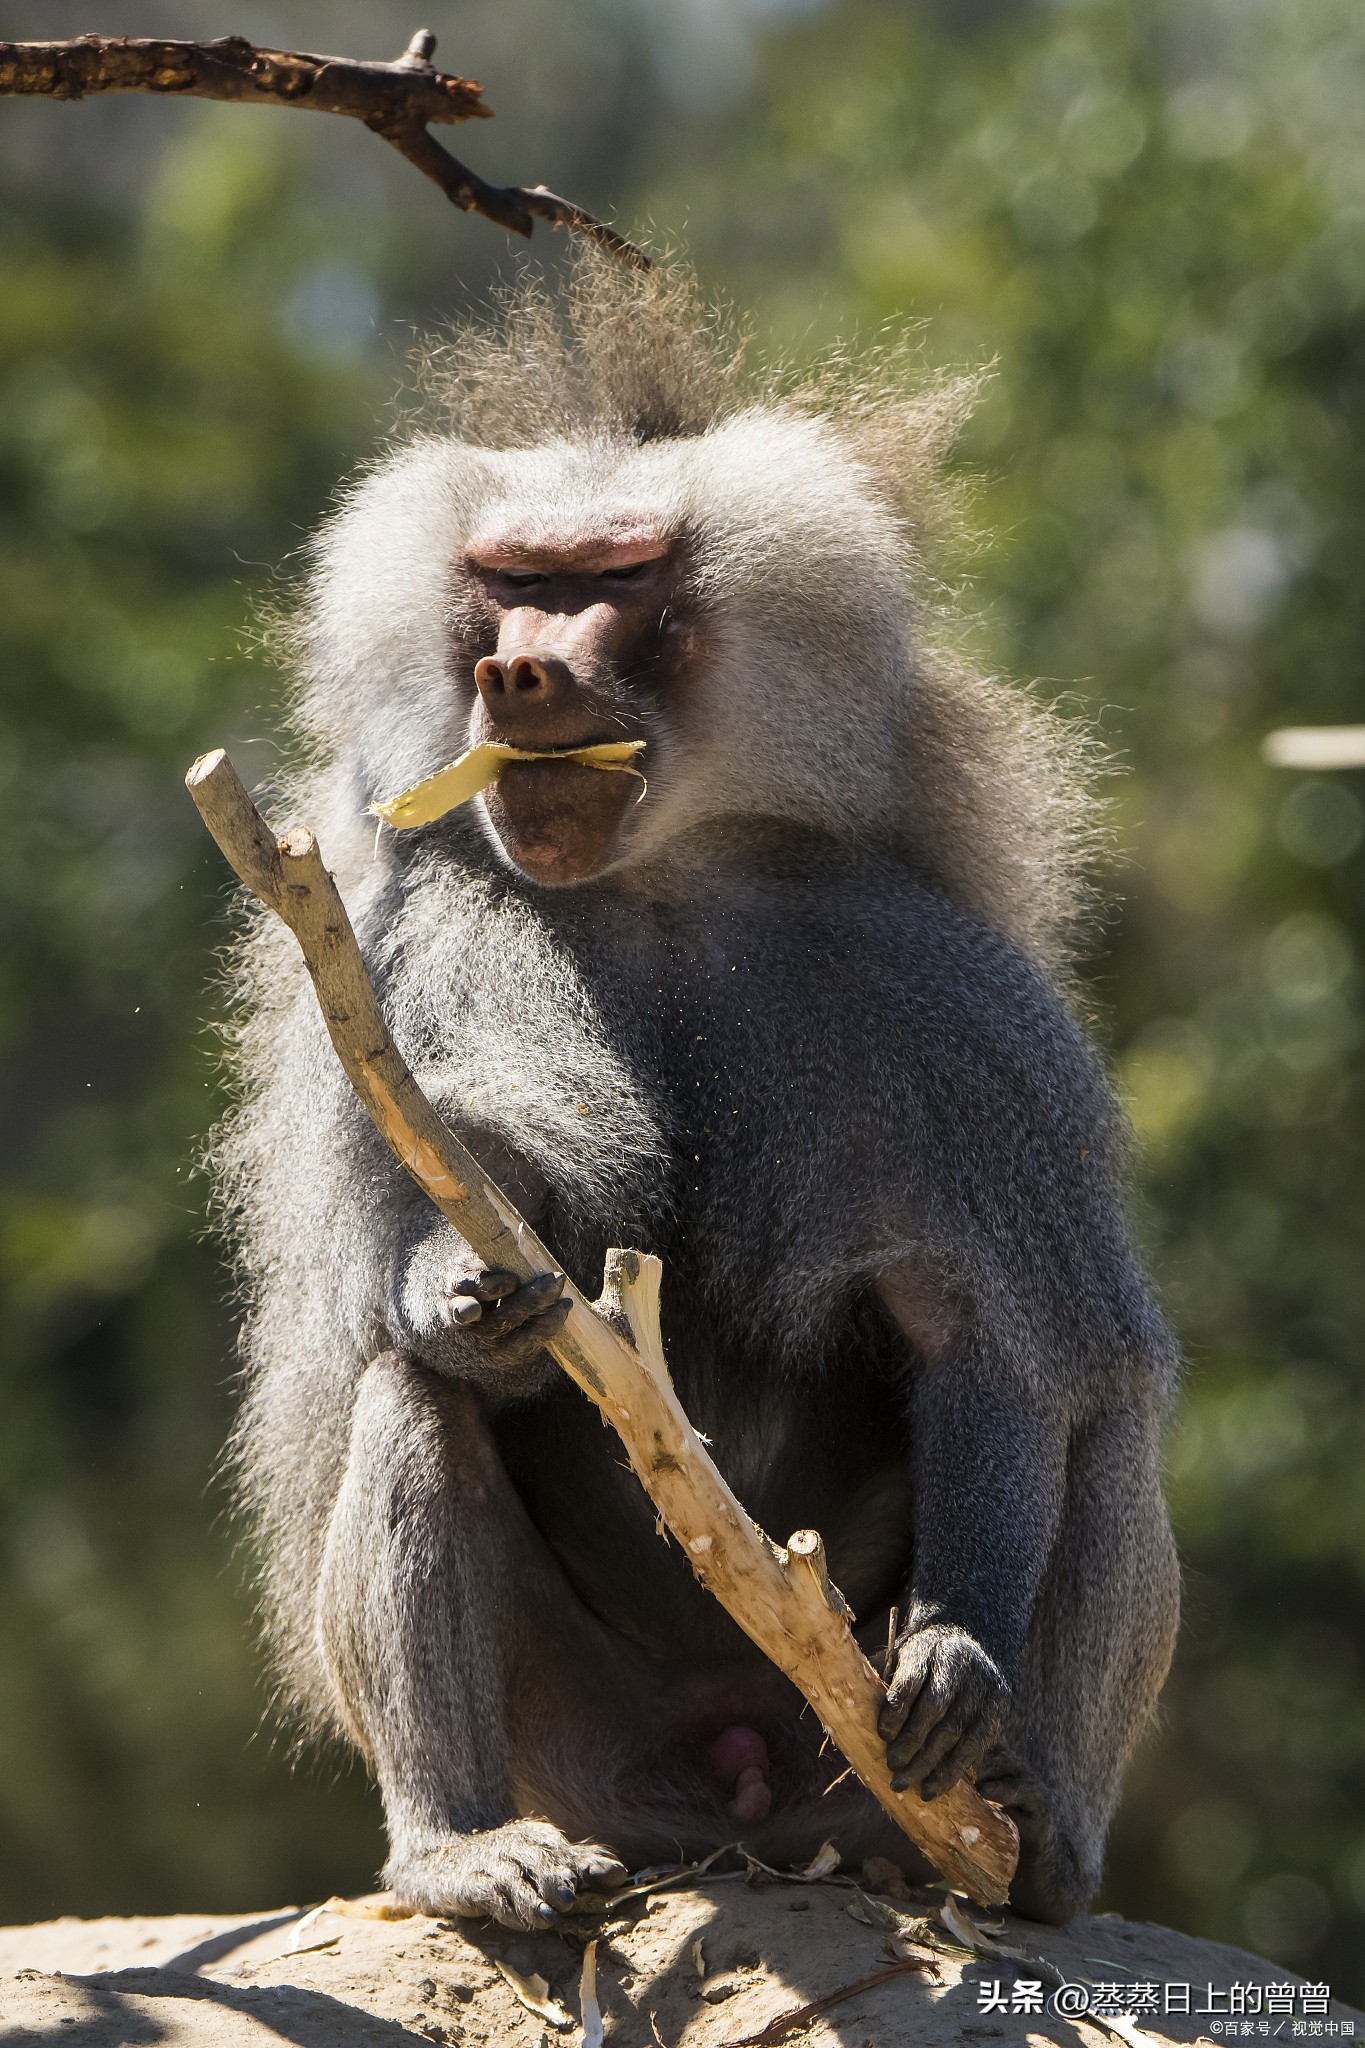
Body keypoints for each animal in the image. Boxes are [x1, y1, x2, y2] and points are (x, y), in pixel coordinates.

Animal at [212, 258, 1180, 1934]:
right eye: (509, 578)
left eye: (620, 576)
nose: (516, 670)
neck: (654, 882)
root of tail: (743, 1809)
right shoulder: (394, 953)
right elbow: (408, 1290)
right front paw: (474, 1289)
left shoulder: (939, 997)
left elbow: (994, 1337)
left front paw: (956, 1649)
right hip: (576, 1747)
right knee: (415, 1404)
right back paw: (464, 1853)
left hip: (847, 1770)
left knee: (1106, 1422)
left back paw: (1037, 1838)